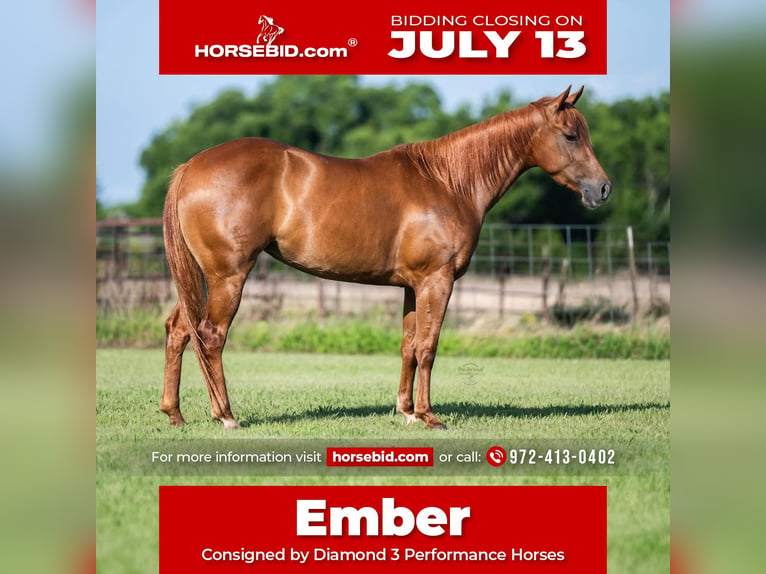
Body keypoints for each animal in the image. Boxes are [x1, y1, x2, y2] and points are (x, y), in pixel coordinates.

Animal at [160, 86, 611, 430]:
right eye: (571, 136)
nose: (603, 188)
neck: (448, 181)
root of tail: (191, 166)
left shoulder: (413, 286)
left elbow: (409, 345)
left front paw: (407, 412)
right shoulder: (436, 281)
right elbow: (428, 346)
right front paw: (430, 416)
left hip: (203, 278)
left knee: (179, 329)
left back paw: (175, 413)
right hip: (228, 277)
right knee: (210, 336)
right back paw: (226, 416)